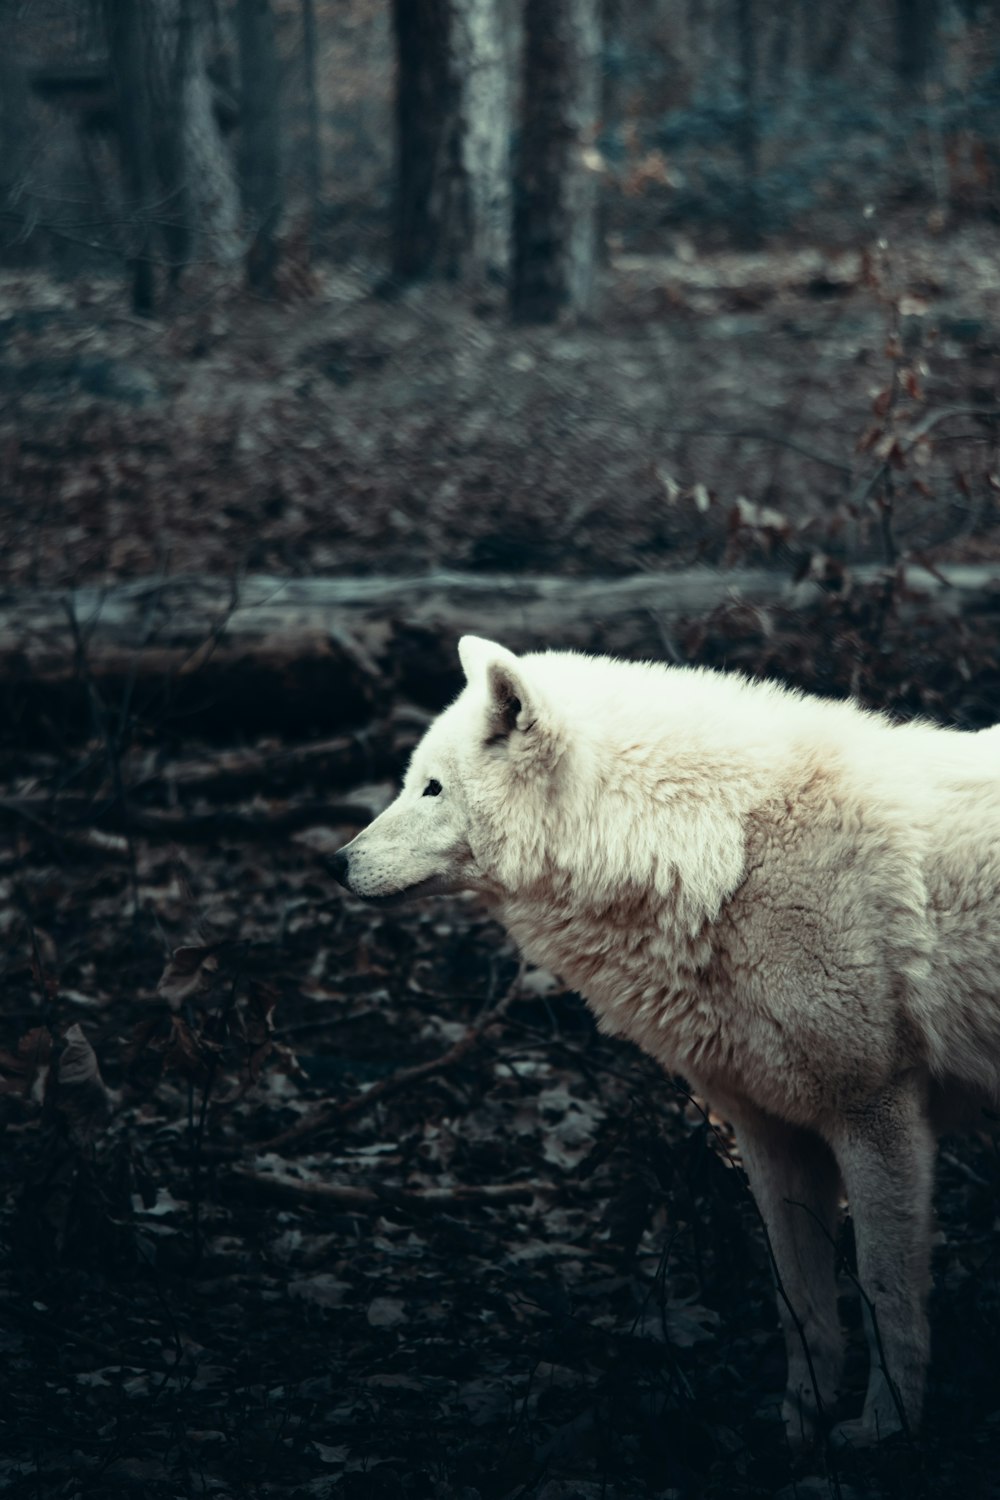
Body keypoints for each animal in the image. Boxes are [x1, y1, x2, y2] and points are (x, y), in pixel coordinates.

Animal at [329, 639, 1000, 1446]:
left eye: (431, 788)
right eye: (410, 782)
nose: (336, 863)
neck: (722, 852)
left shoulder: (877, 1109)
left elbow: (884, 1290)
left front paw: (884, 1429)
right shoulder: (768, 1128)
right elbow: (798, 1297)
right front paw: (800, 1423)